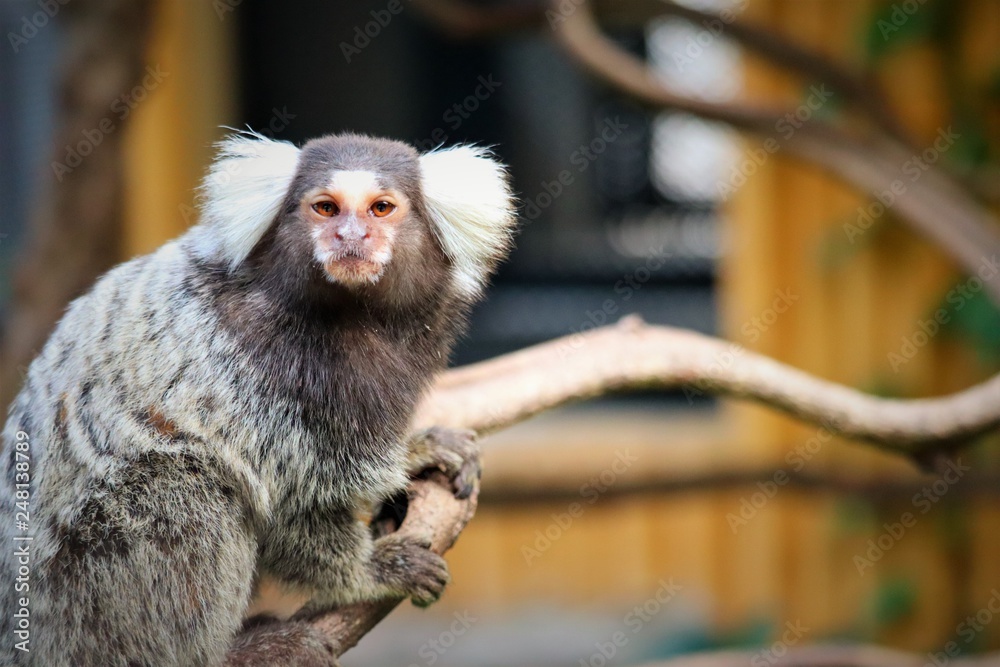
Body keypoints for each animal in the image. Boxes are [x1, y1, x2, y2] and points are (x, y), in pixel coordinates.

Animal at [0, 131, 517, 666]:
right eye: (326, 208)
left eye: (382, 208)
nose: (350, 237)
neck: (350, 317)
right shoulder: (256, 375)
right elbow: (291, 501)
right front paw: (369, 572)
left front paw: (417, 450)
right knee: (184, 486)